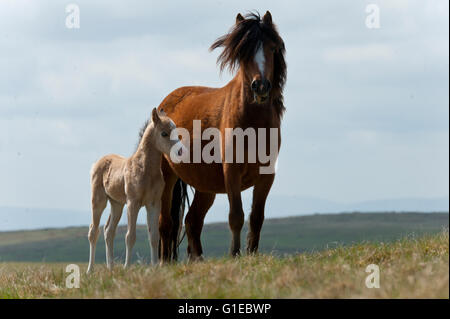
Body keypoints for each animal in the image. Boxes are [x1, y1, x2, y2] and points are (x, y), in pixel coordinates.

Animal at [86, 109, 183, 274]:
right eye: (164, 133)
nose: (180, 152)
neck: (146, 170)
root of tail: (98, 162)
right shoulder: (133, 203)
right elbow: (130, 236)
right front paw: (126, 267)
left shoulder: (154, 204)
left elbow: (154, 236)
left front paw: (155, 266)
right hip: (98, 201)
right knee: (93, 231)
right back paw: (90, 270)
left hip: (117, 204)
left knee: (109, 231)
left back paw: (111, 268)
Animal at [156, 11, 286, 262]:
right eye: (243, 53)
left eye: (272, 48)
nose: (260, 86)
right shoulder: (231, 172)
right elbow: (236, 215)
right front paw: (234, 254)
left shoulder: (267, 176)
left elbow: (257, 217)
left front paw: (252, 254)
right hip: (167, 177)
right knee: (166, 223)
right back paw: (165, 263)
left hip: (206, 186)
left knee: (192, 221)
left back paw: (197, 260)